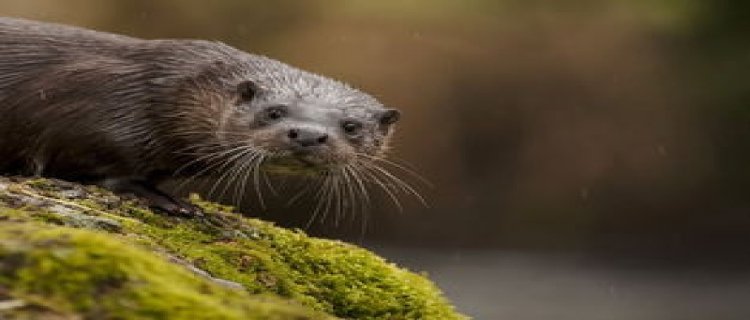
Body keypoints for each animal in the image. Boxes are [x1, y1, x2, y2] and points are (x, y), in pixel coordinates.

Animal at [0, 18, 406, 218]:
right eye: (274, 111)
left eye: (351, 126)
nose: (307, 135)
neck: (164, 91)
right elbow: (102, 168)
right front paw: (171, 202)